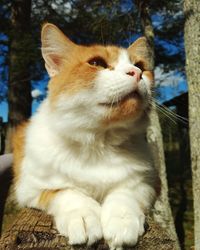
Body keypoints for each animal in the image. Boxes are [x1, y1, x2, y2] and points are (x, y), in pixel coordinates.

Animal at [12, 23, 158, 250]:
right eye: (97, 63)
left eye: (140, 65)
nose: (136, 73)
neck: (99, 140)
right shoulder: (29, 188)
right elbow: (67, 192)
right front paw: (83, 217)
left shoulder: (146, 184)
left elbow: (125, 193)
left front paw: (122, 221)